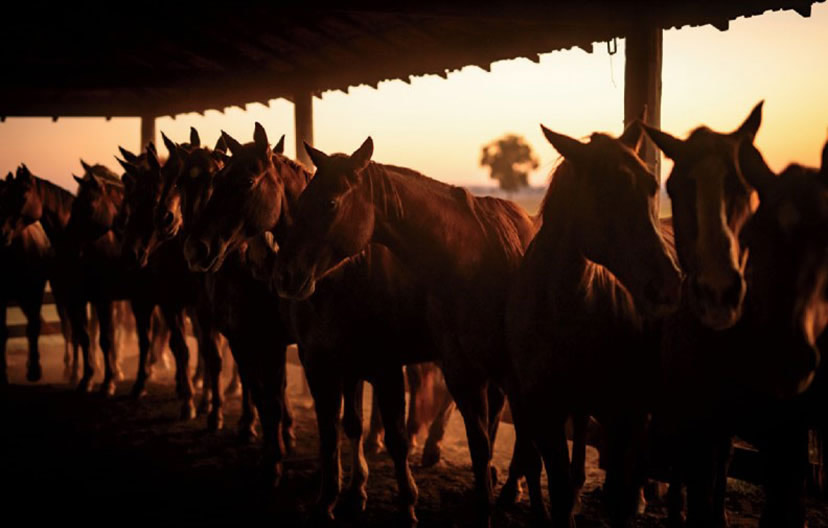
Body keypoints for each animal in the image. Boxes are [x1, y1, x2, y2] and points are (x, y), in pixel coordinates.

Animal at [274, 138, 540, 524]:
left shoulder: (384, 366)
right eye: (302, 201)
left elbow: (395, 436)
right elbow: (339, 428)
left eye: (331, 203)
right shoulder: (337, 365)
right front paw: (339, 498)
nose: (285, 276)